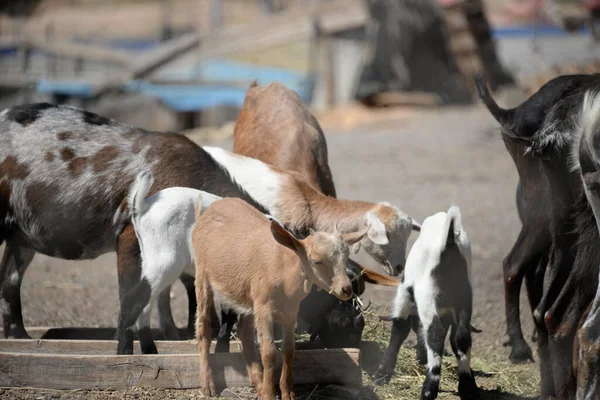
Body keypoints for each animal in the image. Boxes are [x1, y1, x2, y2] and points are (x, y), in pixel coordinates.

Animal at [0, 103, 268, 354]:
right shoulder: (128, 236)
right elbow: (133, 290)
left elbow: (175, 293)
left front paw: (175, 336)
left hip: (21, 238)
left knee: (9, 279)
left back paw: (21, 338)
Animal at [195, 198, 368, 400]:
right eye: (317, 261)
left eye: (346, 258)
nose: (346, 289)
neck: (285, 270)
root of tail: (217, 204)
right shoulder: (264, 309)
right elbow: (269, 353)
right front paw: (270, 394)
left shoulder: (290, 311)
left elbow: (288, 350)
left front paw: (287, 392)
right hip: (202, 274)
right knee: (204, 328)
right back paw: (208, 384)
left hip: (247, 294)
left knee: (245, 333)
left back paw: (258, 382)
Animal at [372, 206, 480, 400]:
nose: (420, 358)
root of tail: (449, 239)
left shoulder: (405, 293)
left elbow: (399, 328)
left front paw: (382, 373)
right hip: (464, 298)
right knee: (461, 336)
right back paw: (468, 388)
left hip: (427, 297)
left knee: (436, 334)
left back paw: (429, 389)